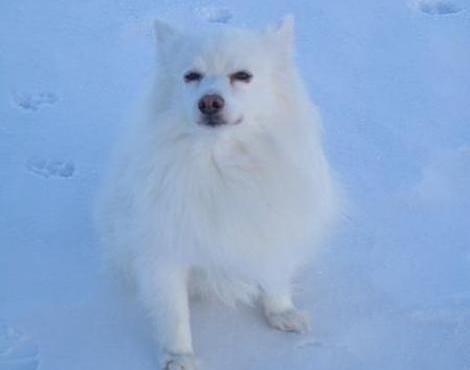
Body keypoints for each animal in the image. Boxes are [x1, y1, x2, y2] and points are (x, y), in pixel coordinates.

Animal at [96, 15, 338, 370]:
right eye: (191, 76)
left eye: (243, 75)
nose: (209, 102)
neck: (219, 161)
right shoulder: (164, 248)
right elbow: (174, 311)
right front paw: (179, 356)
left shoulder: (273, 225)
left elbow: (276, 275)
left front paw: (281, 312)